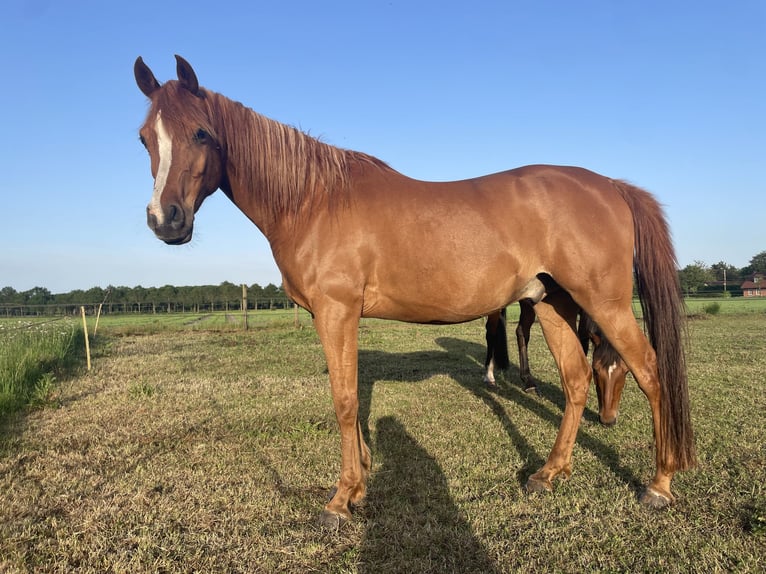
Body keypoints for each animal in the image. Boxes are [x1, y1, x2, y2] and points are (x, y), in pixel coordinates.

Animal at [484, 302, 629, 427]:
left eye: (626, 371)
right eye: (595, 370)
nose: (608, 419)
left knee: (521, 331)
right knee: (493, 332)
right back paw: (492, 377)